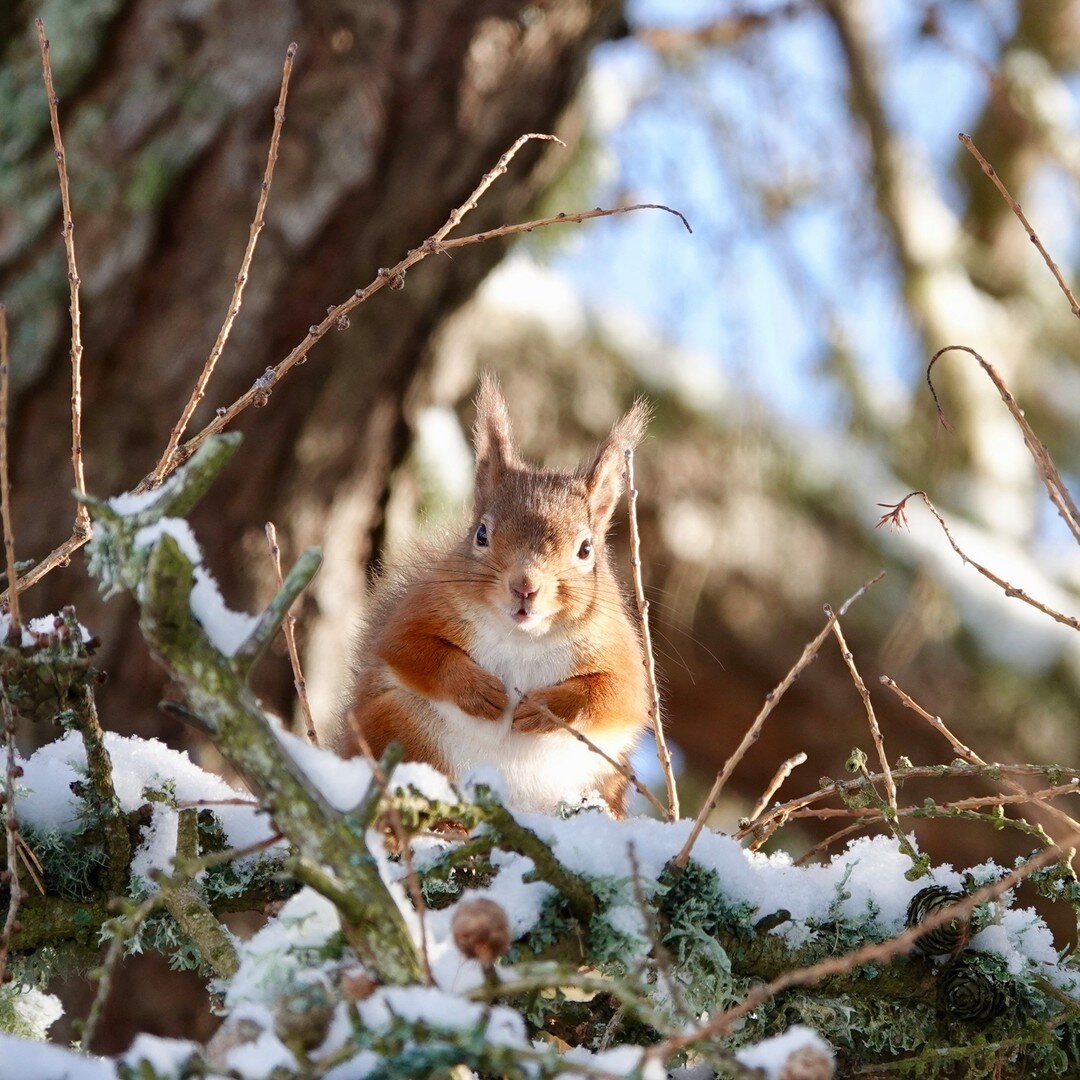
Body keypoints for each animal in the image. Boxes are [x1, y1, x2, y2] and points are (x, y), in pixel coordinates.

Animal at [332, 375, 648, 812]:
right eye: (481, 534)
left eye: (586, 550)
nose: (525, 585)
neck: (522, 638)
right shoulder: (421, 611)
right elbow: (409, 649)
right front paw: (479, 690)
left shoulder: (618, 649)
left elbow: (616, 695)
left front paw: (543, 709)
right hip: (395, 724)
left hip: (605, 778)